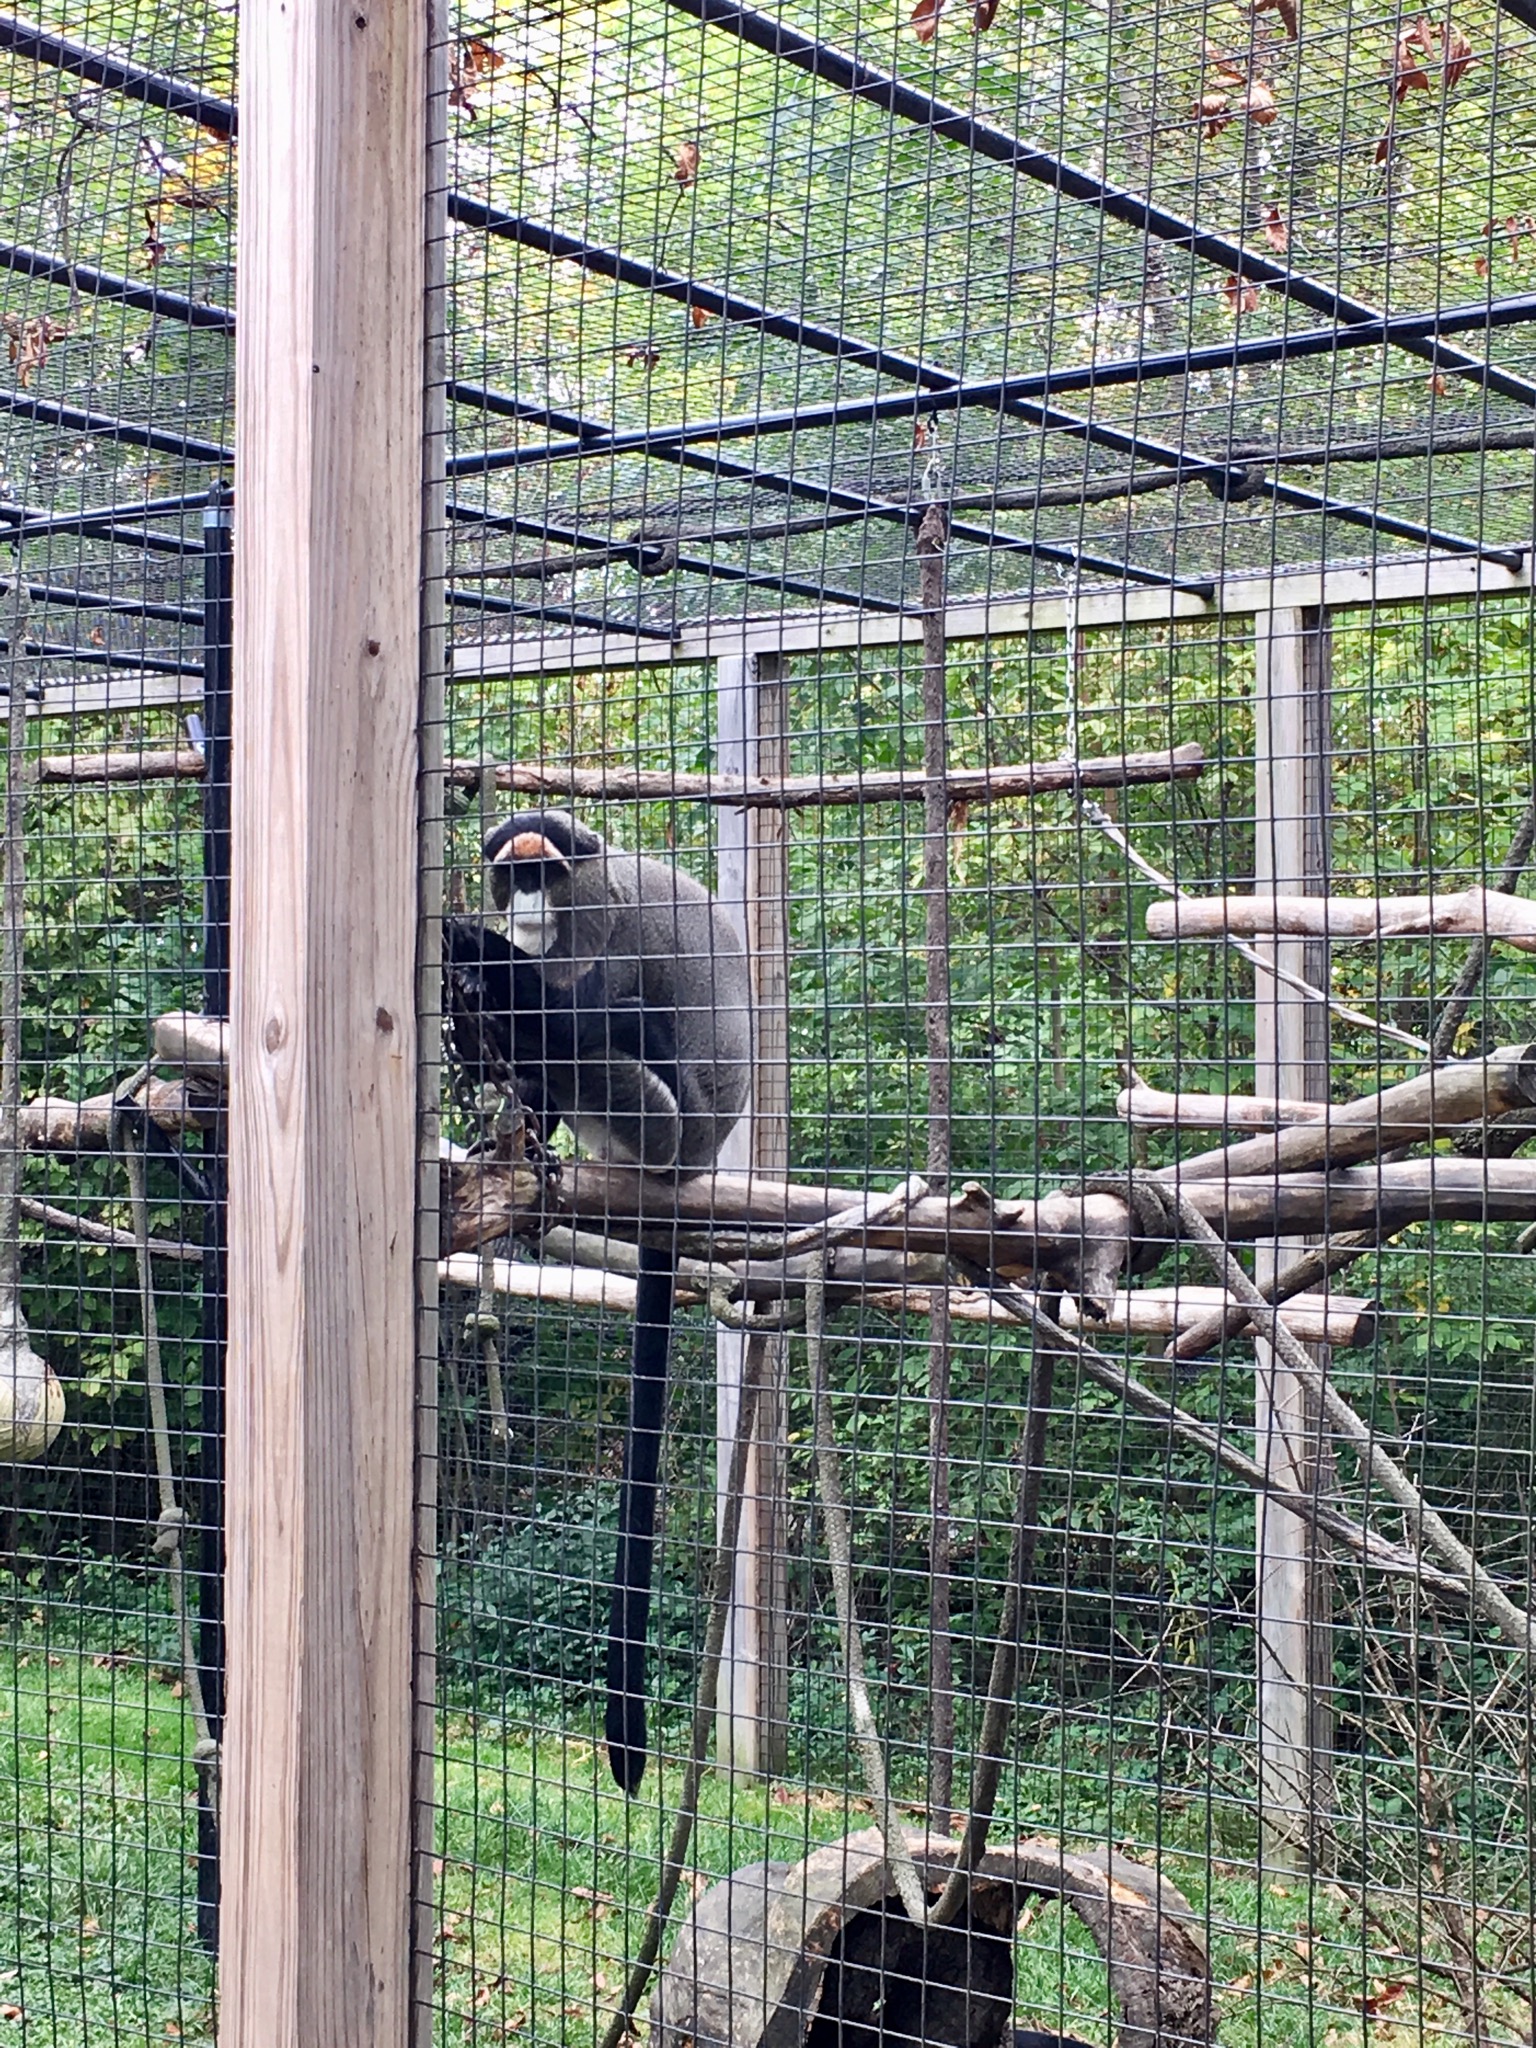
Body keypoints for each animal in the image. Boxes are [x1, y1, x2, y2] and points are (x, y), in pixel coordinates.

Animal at [445, 809, 750, 1792]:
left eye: (543, 875)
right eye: (512, 875)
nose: (524, 908)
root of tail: (693, 1166)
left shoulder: (616, 930)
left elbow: (586, 1010)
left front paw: (474, 949)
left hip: (659, 1119)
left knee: (603, 1033)